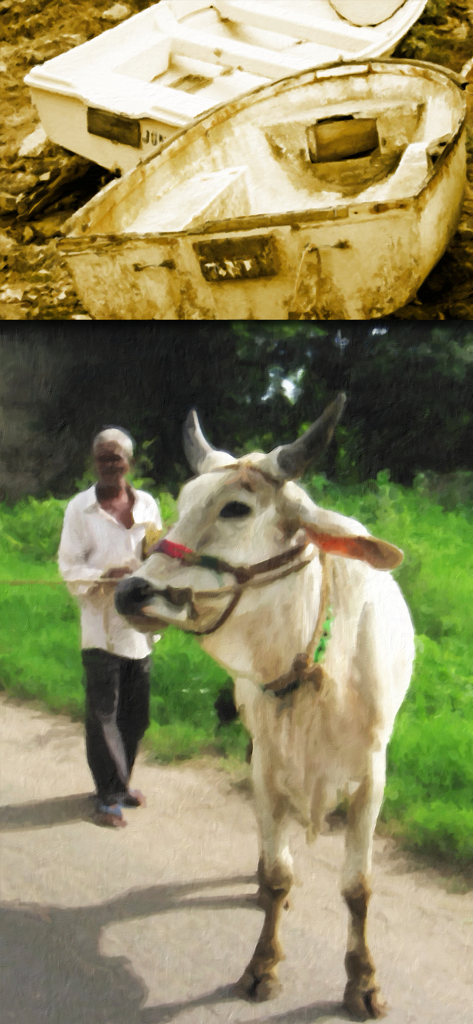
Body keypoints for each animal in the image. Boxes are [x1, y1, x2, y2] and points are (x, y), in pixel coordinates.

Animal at [115, 397, 415, 1020]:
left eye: (236, 507)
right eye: (182, 501)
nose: (130, 592)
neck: (318, 672)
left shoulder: (372, 776)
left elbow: (358, 887)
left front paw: (363, 981)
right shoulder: (270, 766)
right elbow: (280, 875)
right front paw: (262, 965)